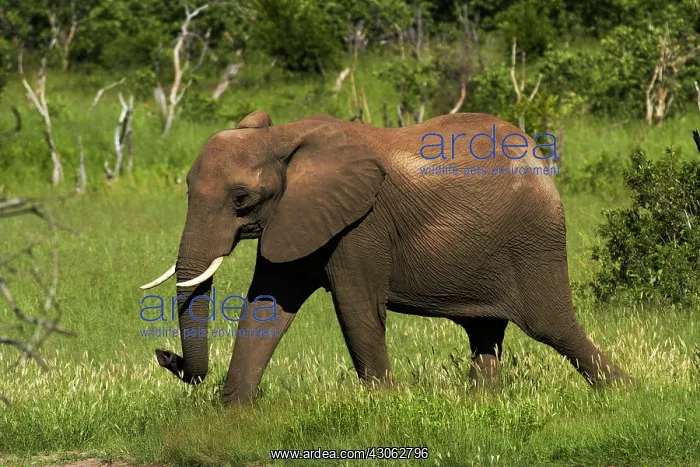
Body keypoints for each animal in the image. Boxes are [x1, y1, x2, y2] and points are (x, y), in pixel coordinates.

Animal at [140, 110, 630, 406]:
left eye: (241, 199)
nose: (166, 356)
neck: (283, 137)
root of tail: (538, 156)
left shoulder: (361, 225)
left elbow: (356, 307)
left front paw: (385, 403)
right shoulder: (297, 217)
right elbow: (269, 305)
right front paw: (234, 411)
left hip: (533, 239)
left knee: (552, 326)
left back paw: (626, 394)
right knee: (484, 331)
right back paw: (479, 404)